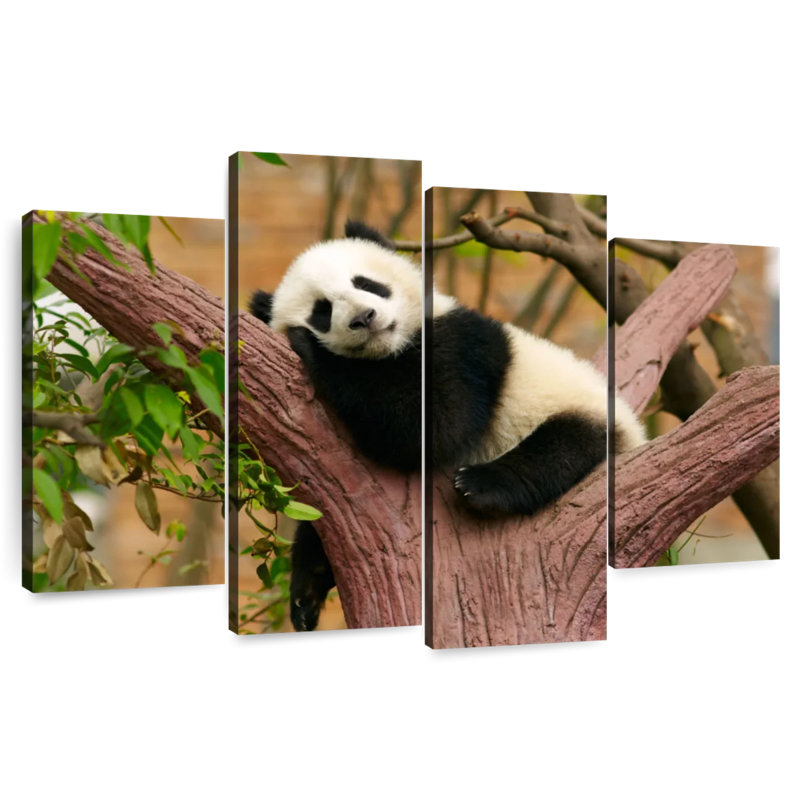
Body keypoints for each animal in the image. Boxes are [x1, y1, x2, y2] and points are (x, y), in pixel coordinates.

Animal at [250, 220, 645, 631]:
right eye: (322, 311)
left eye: (367, 284)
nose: (364, 317)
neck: (391, 349)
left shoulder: (462, 345)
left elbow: (435, 425)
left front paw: (310, 348)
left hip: (581, 411)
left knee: (560, 449)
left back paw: (482, 485)